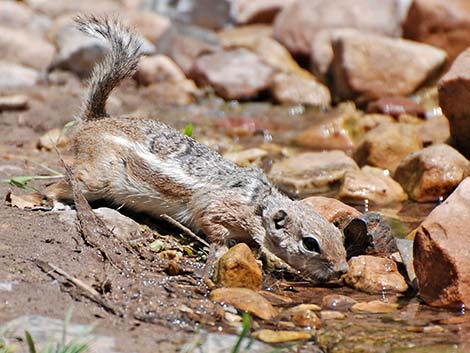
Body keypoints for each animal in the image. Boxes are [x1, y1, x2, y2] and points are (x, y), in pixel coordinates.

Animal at [48, 15, 348, 282]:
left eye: (340, 237)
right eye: (310, 243)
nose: (342, 270)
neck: (259, 205)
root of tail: (95, 121)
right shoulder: (215, 210)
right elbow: (215, 230)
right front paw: (222, 251)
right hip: (97, 178)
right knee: (60, 183)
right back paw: (57, 202)